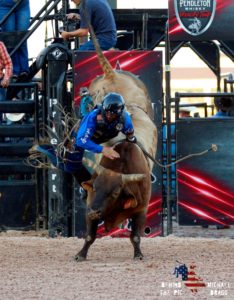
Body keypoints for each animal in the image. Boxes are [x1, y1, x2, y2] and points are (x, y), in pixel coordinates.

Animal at [74, 28, 158, 258]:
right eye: (94, 187)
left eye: (113, 193)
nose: (94, 211)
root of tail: (113, 74)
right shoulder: (89, 205)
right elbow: (89, 235)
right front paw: (81, 254)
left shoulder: (141, 209)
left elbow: (136, 235)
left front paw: (138, 254)